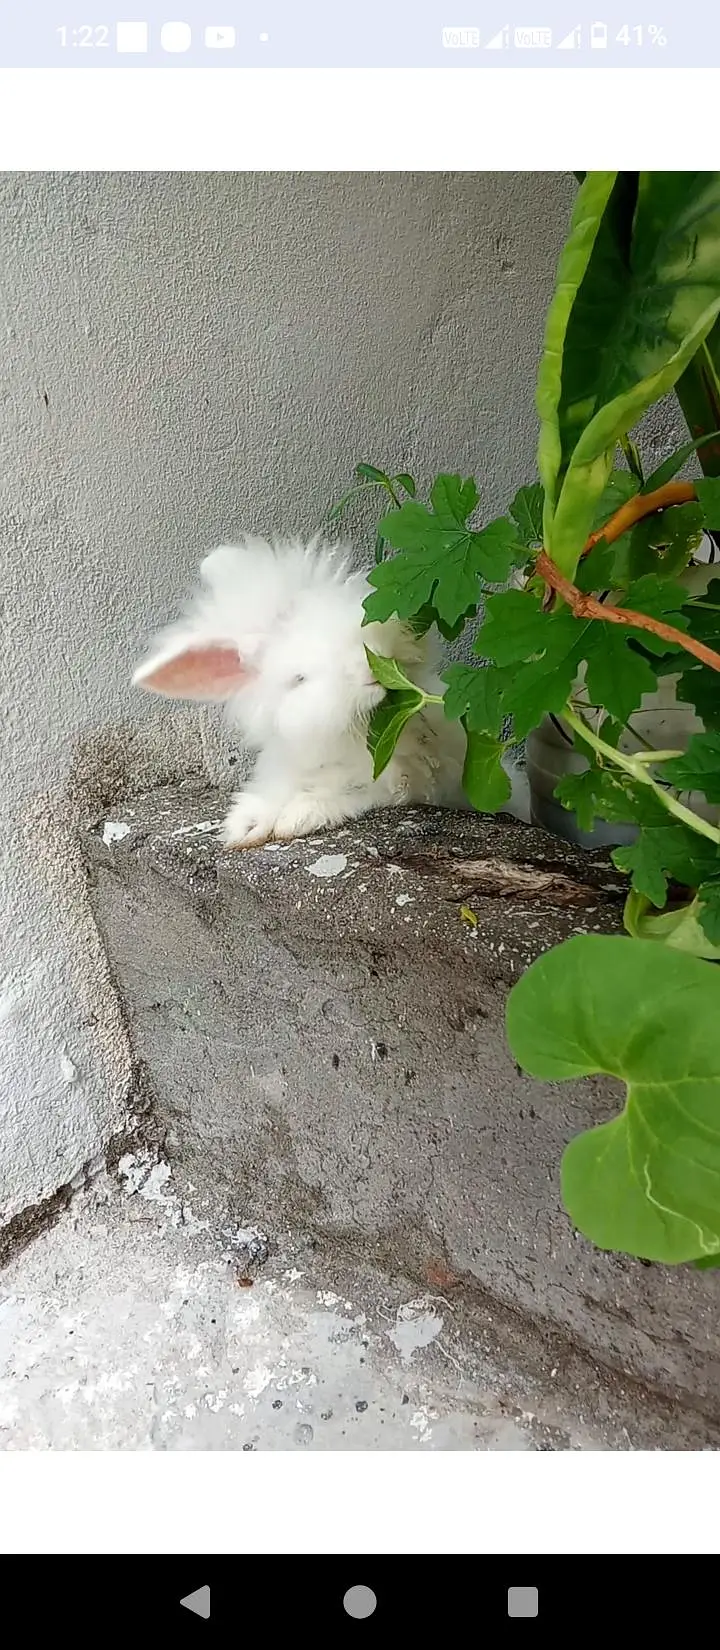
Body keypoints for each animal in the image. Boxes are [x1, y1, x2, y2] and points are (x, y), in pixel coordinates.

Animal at [133, 536, 530, 848]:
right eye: (299, 679)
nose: (366, 668)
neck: (361, 729)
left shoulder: (405, 780)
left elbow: (352, 792)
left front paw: (296, 817)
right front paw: (246, 827)